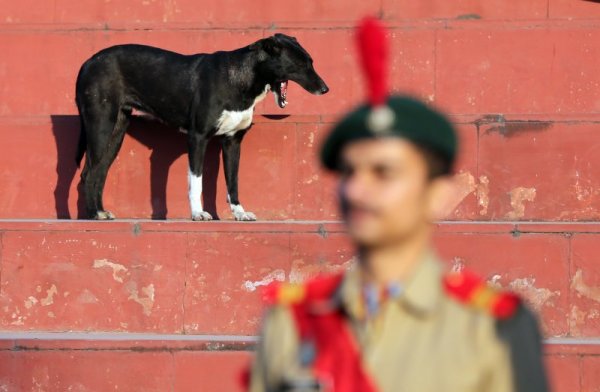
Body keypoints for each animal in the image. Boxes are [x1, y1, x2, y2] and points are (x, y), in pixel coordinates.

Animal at [76, 33, 328, 220]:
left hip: (116, 132)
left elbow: (233, 182)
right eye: (301, 64)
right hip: (100, 125)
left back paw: (99, 211)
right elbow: (196, 181)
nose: (325, 89)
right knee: (88, 173)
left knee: (100, 171)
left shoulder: (233, 141)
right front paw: (198, 213)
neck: (242, 77)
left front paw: (239, 213)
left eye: (311, 62)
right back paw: (92, 215)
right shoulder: (198, 137)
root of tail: (87, 62)